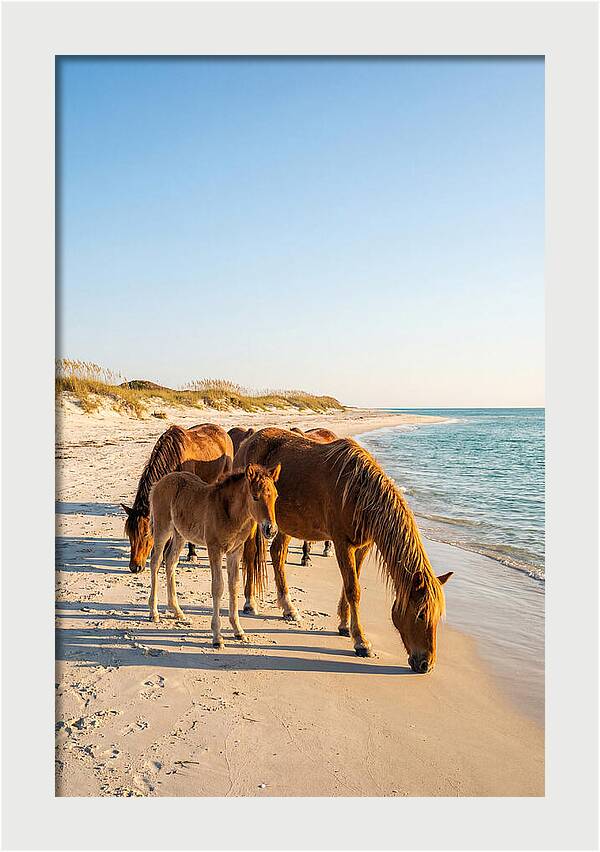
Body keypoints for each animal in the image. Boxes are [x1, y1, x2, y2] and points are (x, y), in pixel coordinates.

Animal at [121, 423, 234, 572]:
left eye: (145, 534)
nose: (135, 567)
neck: (174, 458)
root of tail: (223, 432)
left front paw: (192, 554)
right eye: (129, 534)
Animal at [148, 463, 280, 646]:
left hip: (180, 534)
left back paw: (177, 611)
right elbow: (218, 587)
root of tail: (159, 482)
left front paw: (238, 630)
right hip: (162, 528)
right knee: (155, 561)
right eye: (255, 497)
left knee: (170, 561)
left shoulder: (235, 551)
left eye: (275, 496)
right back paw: (154, 613)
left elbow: (234, 585)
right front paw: (217, 636)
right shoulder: (214, 549)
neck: (230, 513)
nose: (271, 530)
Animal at [235, 428, 452, 671]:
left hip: (286, 523)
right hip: (255, 520)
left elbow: (349, 584)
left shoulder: (363, 546)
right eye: (421, 614)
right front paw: (361, 642)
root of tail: (249, 440)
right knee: (250, 555)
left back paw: (288, 608)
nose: (426, 664)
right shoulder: (342, 543)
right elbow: (353, 590)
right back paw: (250, 602)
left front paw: (344, 625)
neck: (359, 492)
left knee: (277, 554)